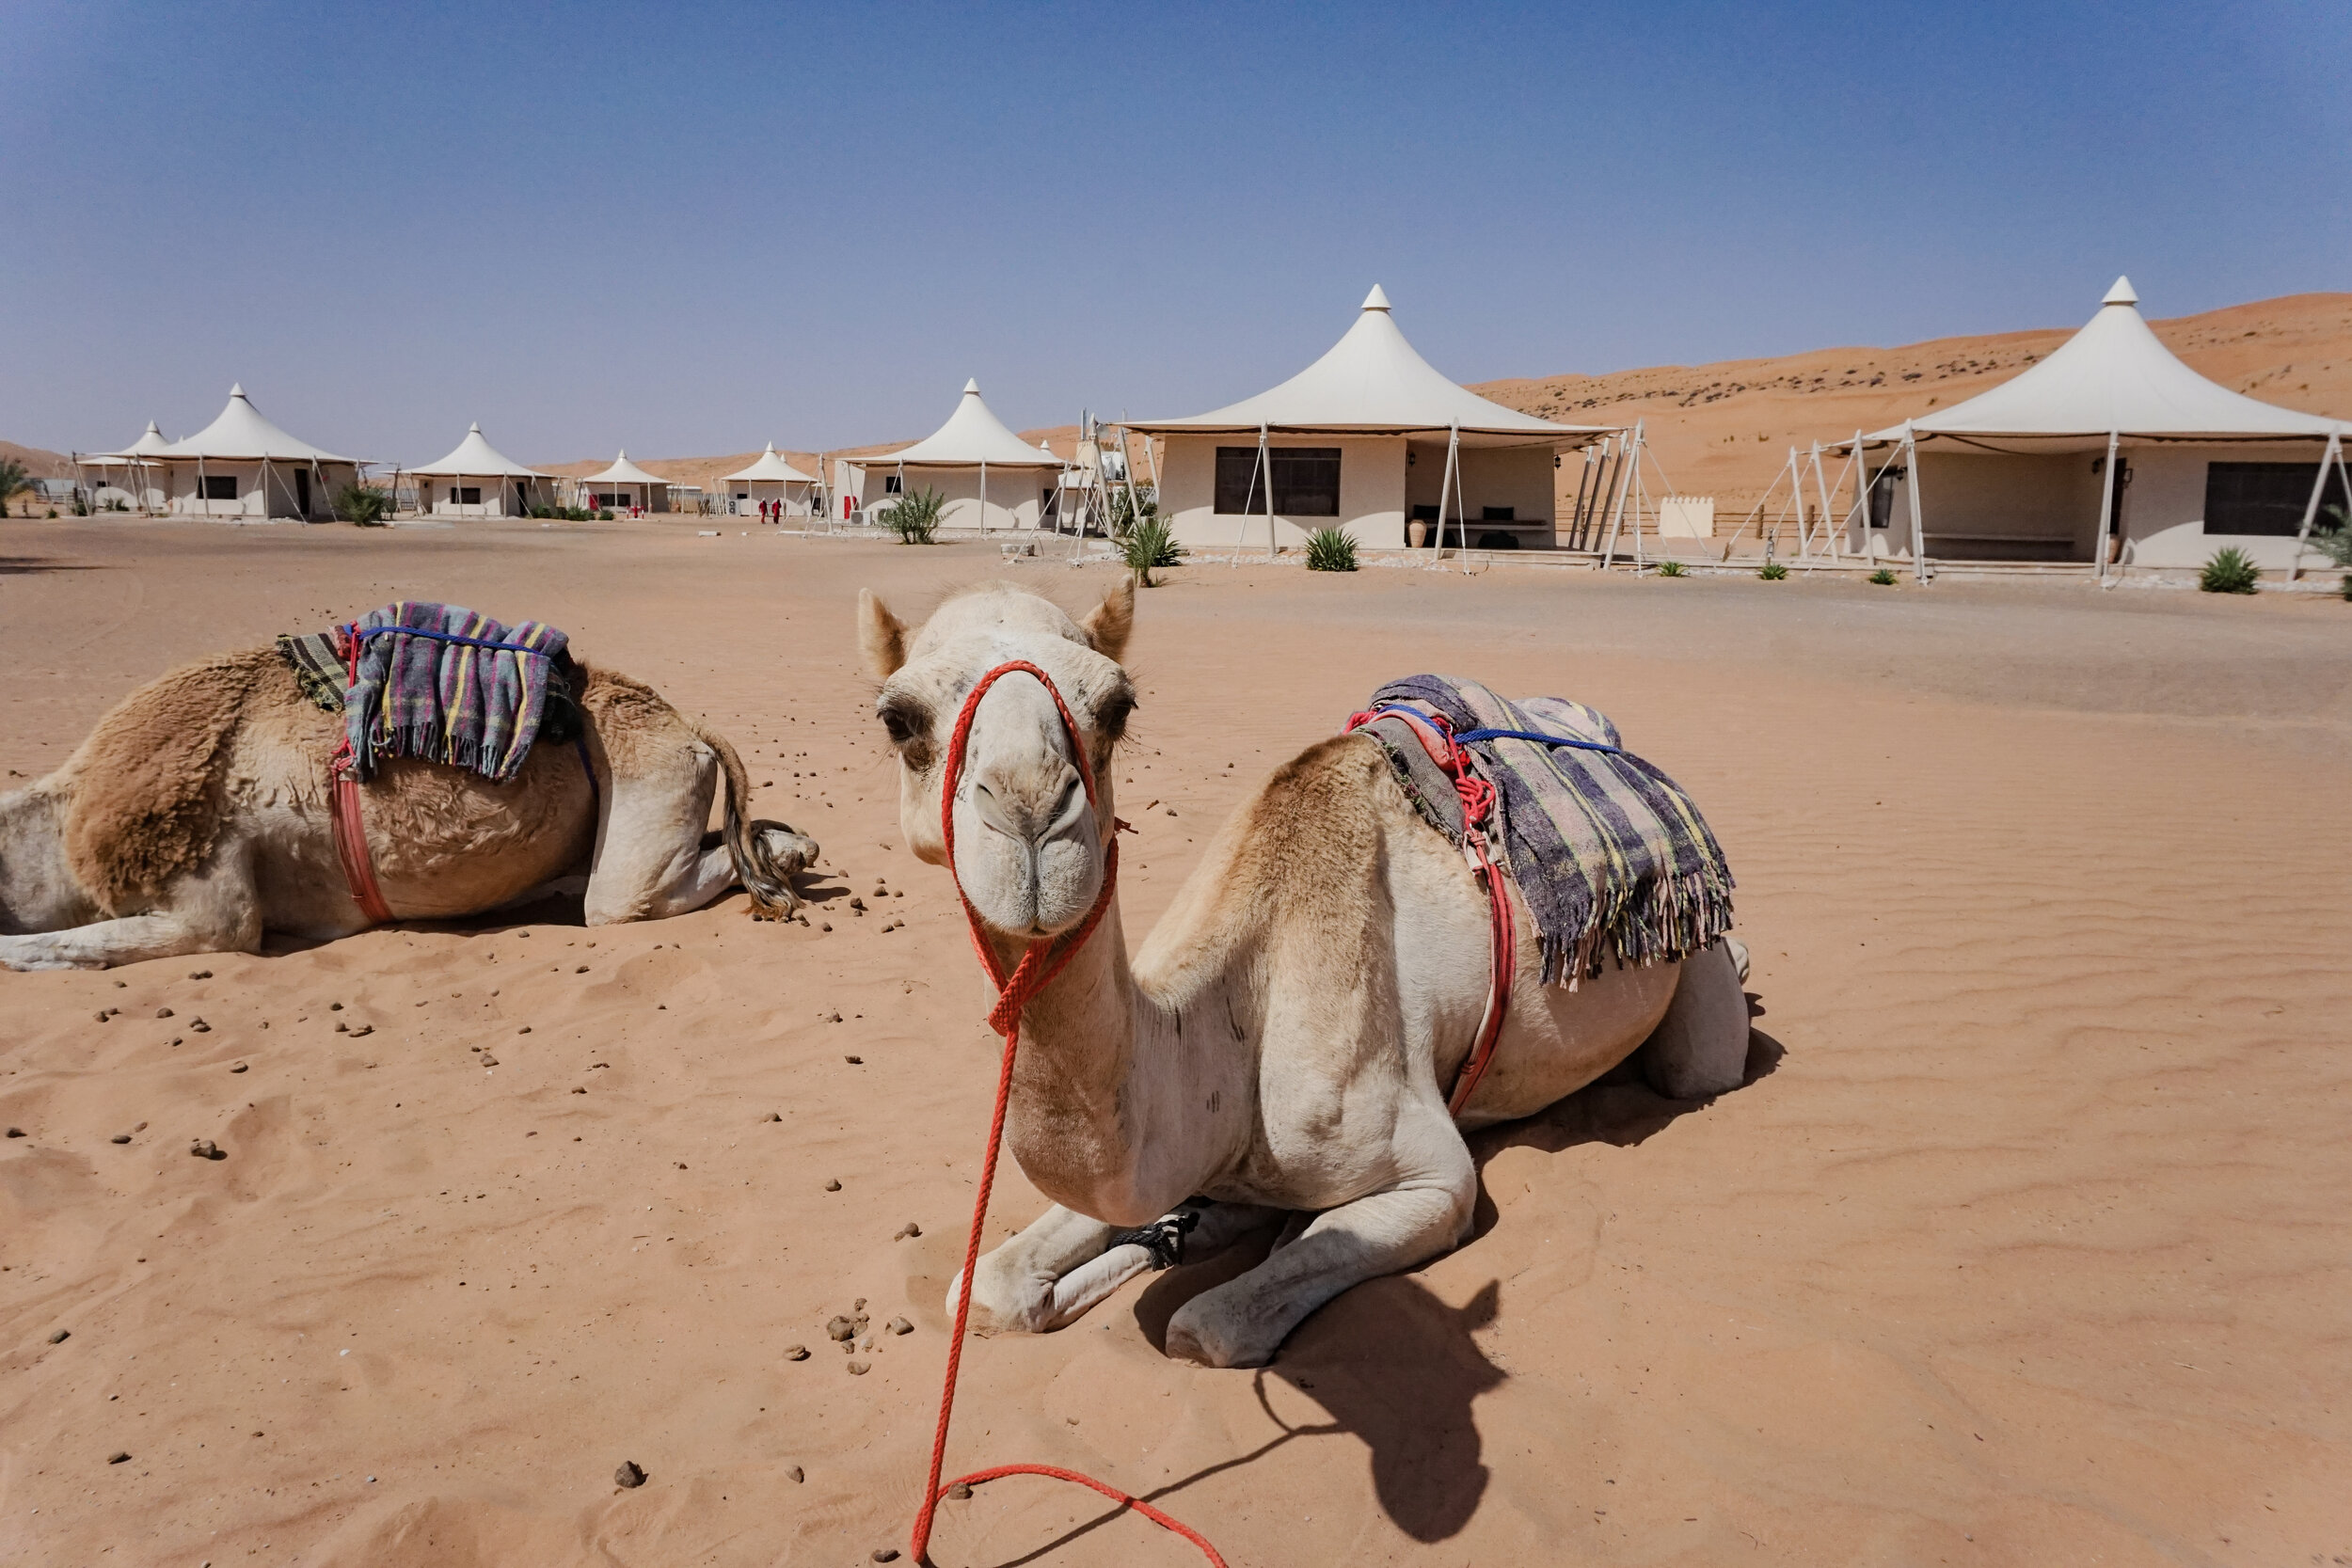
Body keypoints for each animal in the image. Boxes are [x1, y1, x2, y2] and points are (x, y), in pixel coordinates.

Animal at [0, 648, 818, 968]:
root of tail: (687, 723)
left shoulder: (214, 899)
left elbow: (73, 942)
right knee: (731, 841)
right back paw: (795, 846)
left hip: (644, 809)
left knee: (627, 897)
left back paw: (788, 862)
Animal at [866, 580, 1750, 1372]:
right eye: (898, 718)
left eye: (1118, 706)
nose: (1030, 814)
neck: (1232, 1032)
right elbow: (986, 1286)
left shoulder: (1437, 1177)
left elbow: (1206, 1327)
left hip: (1698, 979)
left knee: (1697, 1063)